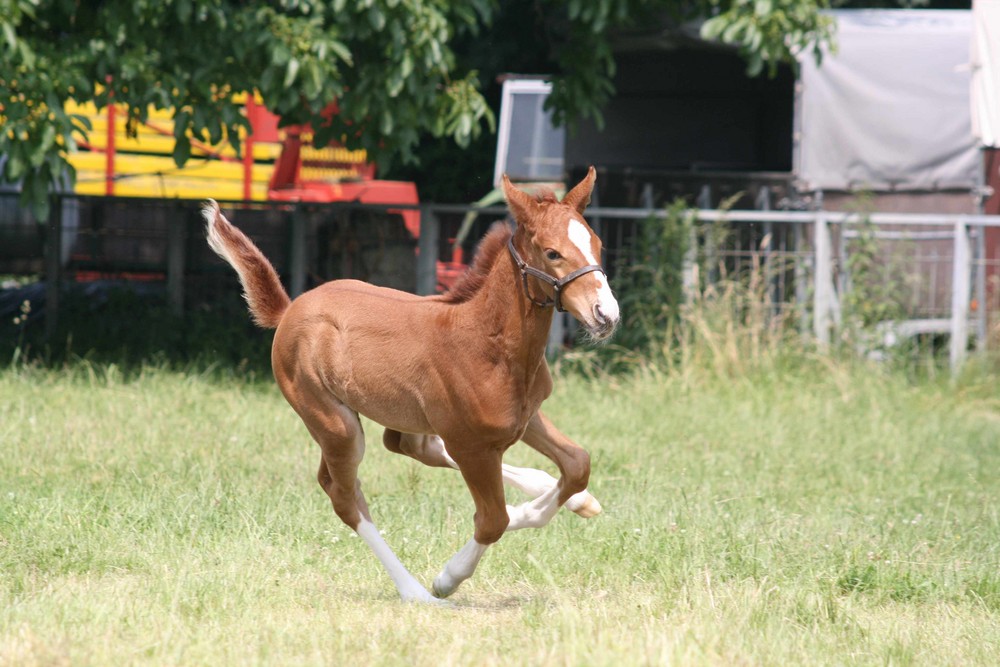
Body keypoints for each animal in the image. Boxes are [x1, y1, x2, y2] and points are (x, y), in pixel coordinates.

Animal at [205, 168, 616, 604]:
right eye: (553, 253)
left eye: (598, 244)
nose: (606, 314)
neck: (489, 343)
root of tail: (288, 311)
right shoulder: (471, 446)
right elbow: (493, 520)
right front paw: (448, 578)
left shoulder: (525, 417)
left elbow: (578, 464)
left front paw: (569, 499)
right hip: (334, 424)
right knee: (345, 496)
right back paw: (415, 591)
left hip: (405, 417)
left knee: (408, 447)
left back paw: (571, 498)